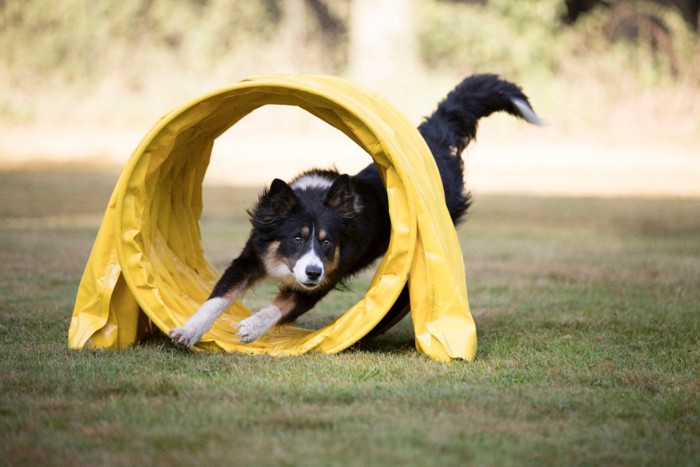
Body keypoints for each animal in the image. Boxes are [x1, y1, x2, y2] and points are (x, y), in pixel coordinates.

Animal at [170, 74, 540, 348]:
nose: (312, 272)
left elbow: (279, 306)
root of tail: (433, 144)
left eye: (327, 242)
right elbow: (217, 298)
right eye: (296, 238)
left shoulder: (324, 280)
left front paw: (250, 326)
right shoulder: (252, 255)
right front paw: (187, 331)